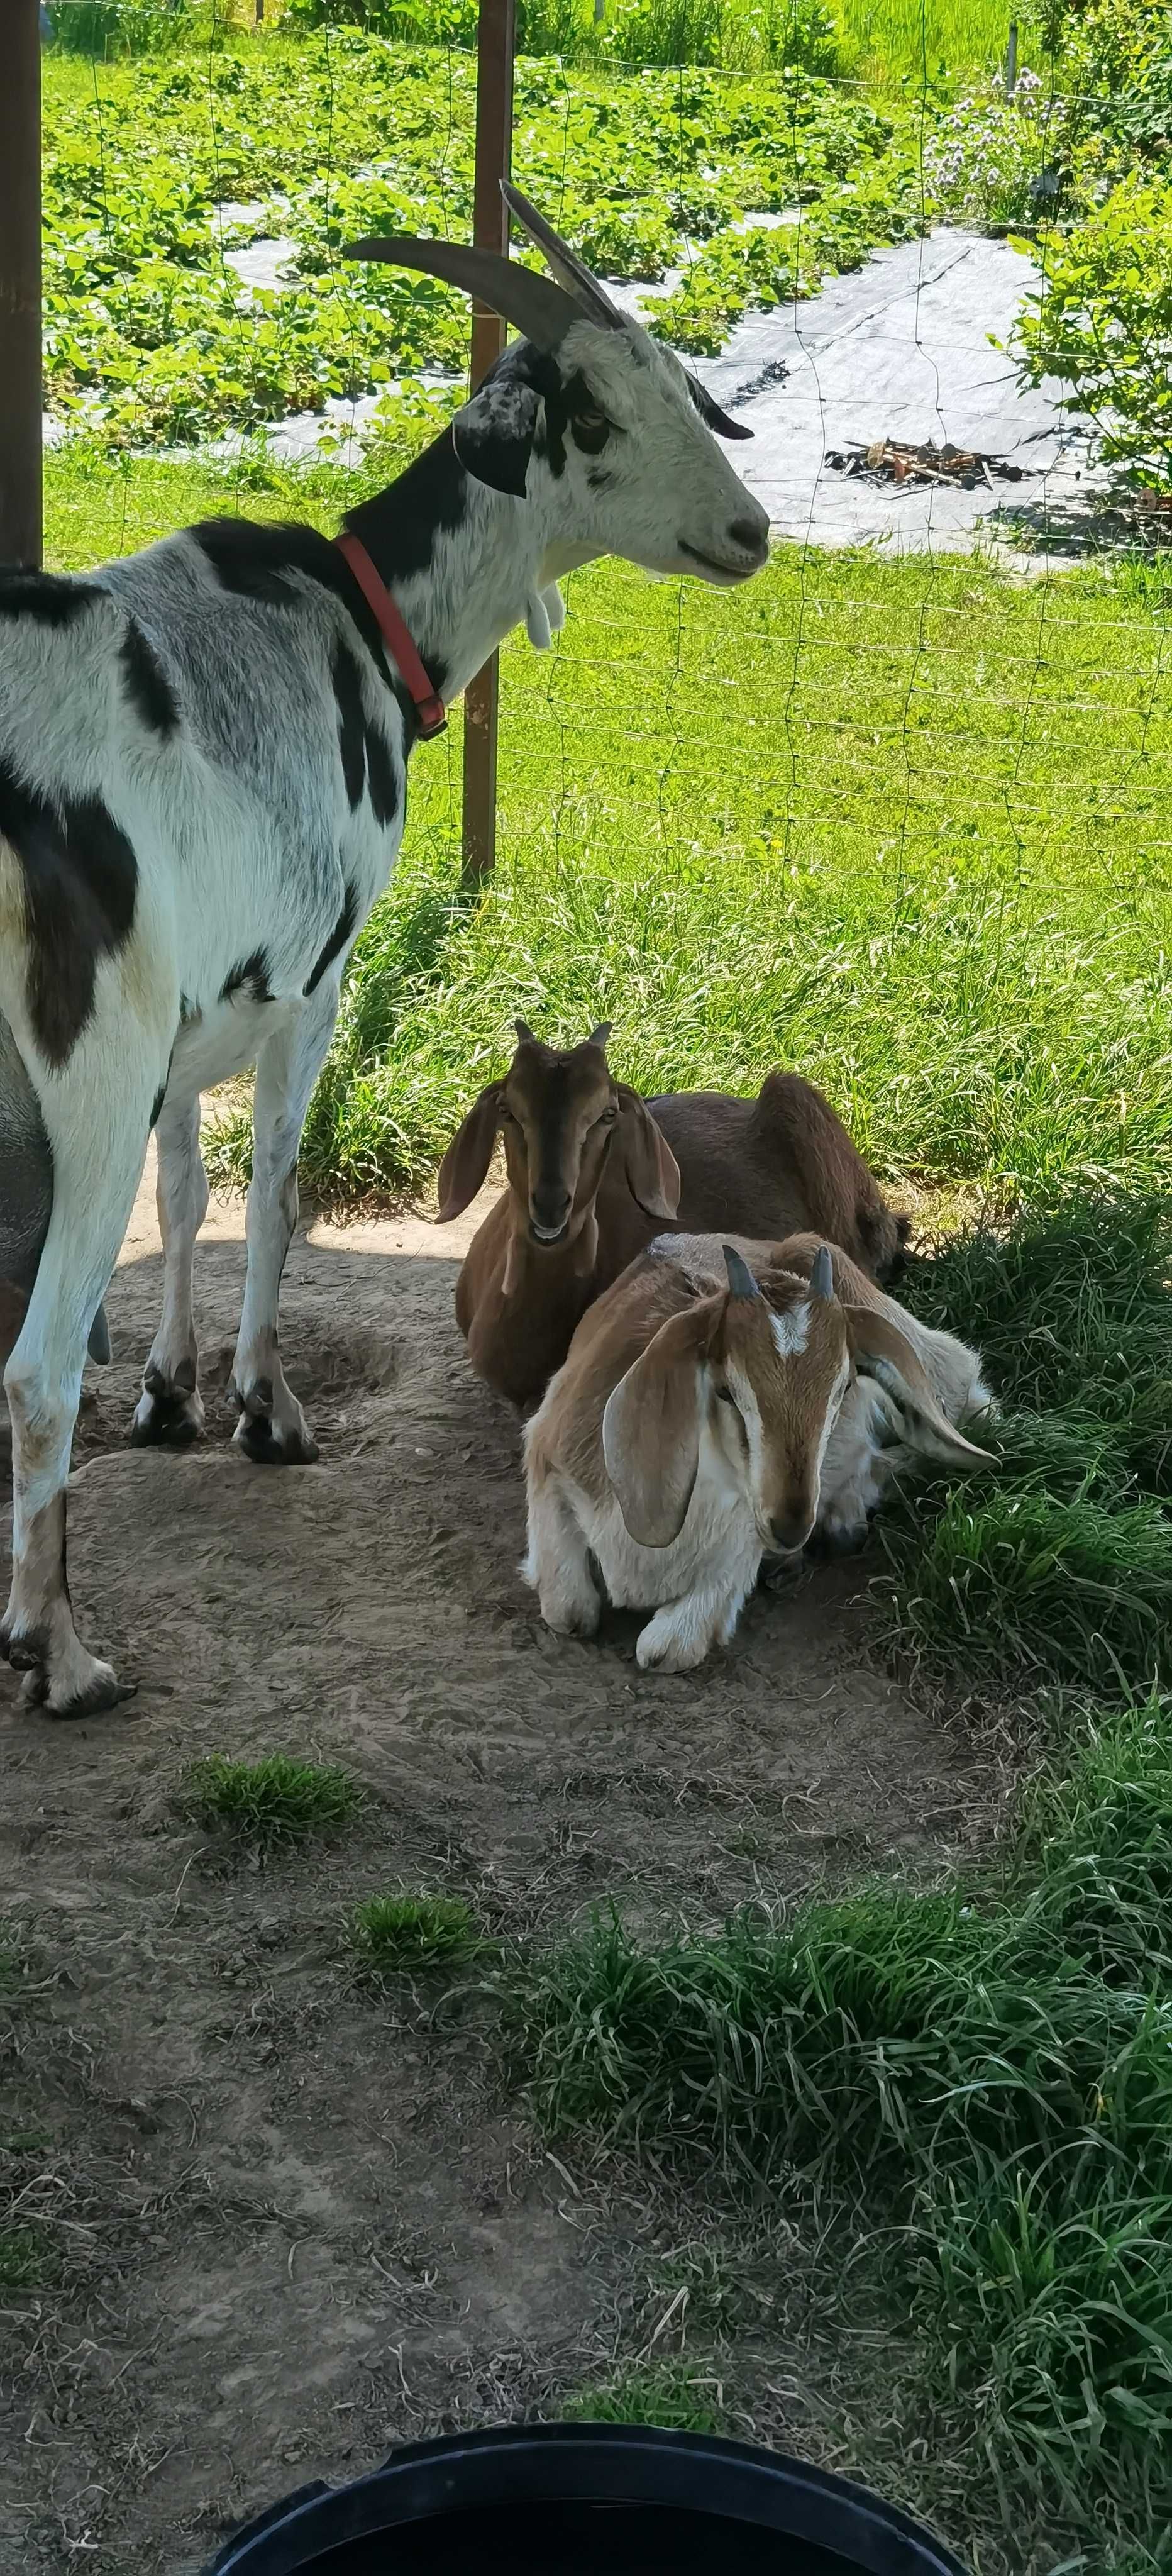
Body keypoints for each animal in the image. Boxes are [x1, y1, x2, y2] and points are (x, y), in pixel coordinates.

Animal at [0, 181, 773, 1710]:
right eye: (588, 416)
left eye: (679, 389)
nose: (748, 532)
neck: (357, 616)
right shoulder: (307, 983)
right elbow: (273, 1190)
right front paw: (262, 1407)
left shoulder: (193, 1005)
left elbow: (187, 1187)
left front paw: (169, 1388)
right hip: (84, 1070)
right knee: (34, 1371)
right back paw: (61, 1647)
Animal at [528, 1236, 994, 1679]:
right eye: (725, 1391)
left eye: (843, 1387)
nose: (791, 1528)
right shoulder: (546, 1450)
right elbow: (569, 1613)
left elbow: (666, 1648)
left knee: (974, 1408)